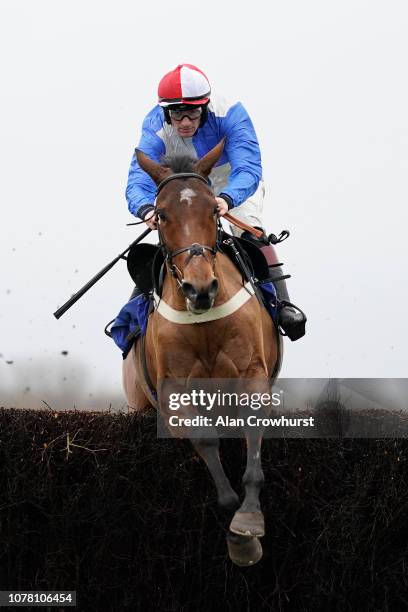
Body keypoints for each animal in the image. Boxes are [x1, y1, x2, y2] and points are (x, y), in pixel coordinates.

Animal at [122, 141, 282, 568]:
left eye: (213, 210)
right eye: (161, 214)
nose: (200, 289)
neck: (205, 320)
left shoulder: (252, 374)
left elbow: (252, 439)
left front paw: (248, 521)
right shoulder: (173, 392)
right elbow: (206, 440)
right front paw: (233, 517)